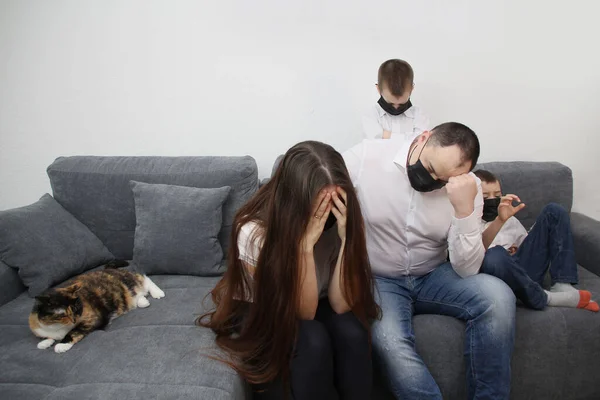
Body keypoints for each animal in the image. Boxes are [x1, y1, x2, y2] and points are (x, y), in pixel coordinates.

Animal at [28, 262, 164, 354]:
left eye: (76, 308)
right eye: (62, 314)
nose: (74, 320)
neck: (57, 327)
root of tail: (109, 269)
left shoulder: (92, 318)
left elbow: (75, 331)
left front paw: (61, 345)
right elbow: (47, 336)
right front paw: (44, 342)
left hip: (129, 281)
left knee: (144, 279)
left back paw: (157, 293)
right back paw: (143, 301)